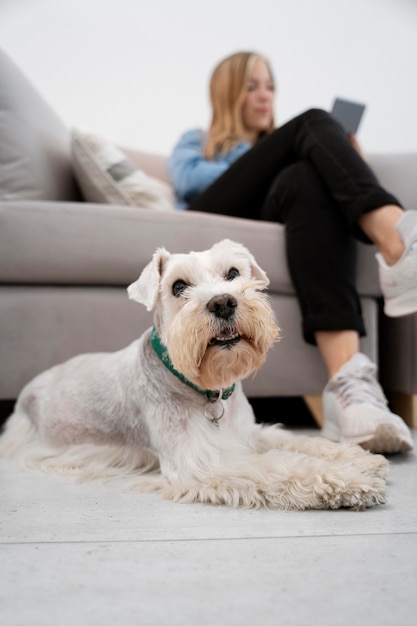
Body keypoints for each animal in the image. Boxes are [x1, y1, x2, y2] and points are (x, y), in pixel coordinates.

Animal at [0, 239, 386, 508]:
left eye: (233, 273)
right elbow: (279, 466)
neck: (204, 388)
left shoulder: (244, 432)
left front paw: (359, 460)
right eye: (178, 286)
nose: (223, 302)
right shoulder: (200, 461)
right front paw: (346, 482)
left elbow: (298, 442)